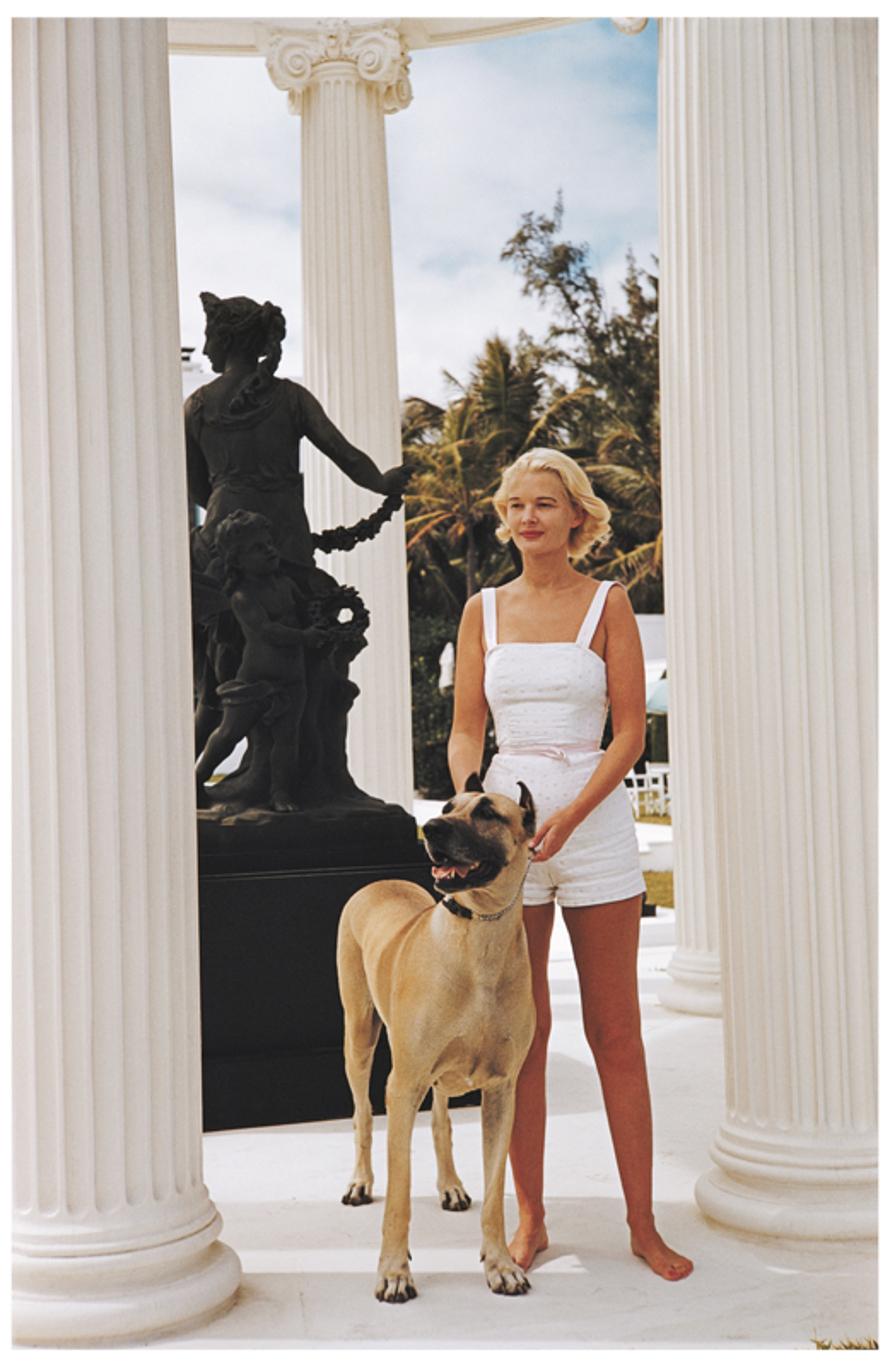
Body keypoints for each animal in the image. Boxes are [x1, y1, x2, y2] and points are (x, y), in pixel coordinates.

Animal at [336, 776, 535, 1295]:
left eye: (487, 812)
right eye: (447, 808)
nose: (430, 829)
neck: (479, 938)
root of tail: (378, 882)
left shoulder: (502, 1090)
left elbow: (495, 1191)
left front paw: (500, 1263)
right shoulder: (402, 1084)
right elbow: (399, 1193)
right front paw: (393, 1271)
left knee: (442, 1119)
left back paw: (450, 1184)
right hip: (358, 1036)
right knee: (362, 1114)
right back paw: (360, 1182)